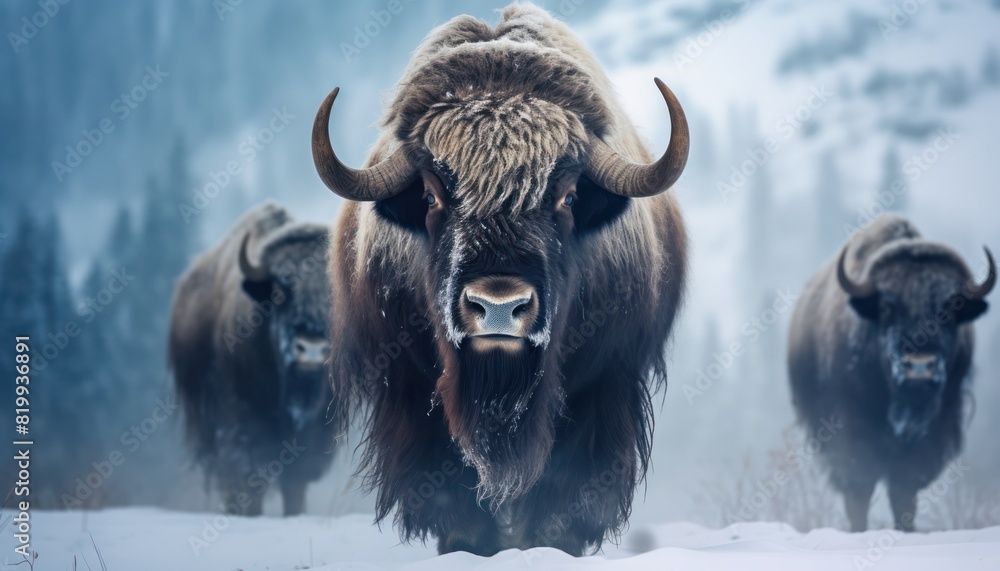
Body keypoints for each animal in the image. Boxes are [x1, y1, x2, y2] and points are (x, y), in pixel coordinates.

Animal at [169, 201, 337, 516]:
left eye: (333, 296)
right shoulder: (242, 430)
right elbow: (247, 482)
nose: (311, 349)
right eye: (281, 292)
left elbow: (294, 489)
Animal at [313, 4, 689, 555]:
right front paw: (467, 544)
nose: (497, 306)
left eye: (568, 196)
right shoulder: (409, 386)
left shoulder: (604, 382)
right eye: (431, 195)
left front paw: (550, 543)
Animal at [788, 214, 994, 531]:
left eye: (949, 309)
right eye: (887, 306)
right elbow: (859, 488)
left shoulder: (936, 429)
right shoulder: (849, 429)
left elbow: (904, 490)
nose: (919, 366)